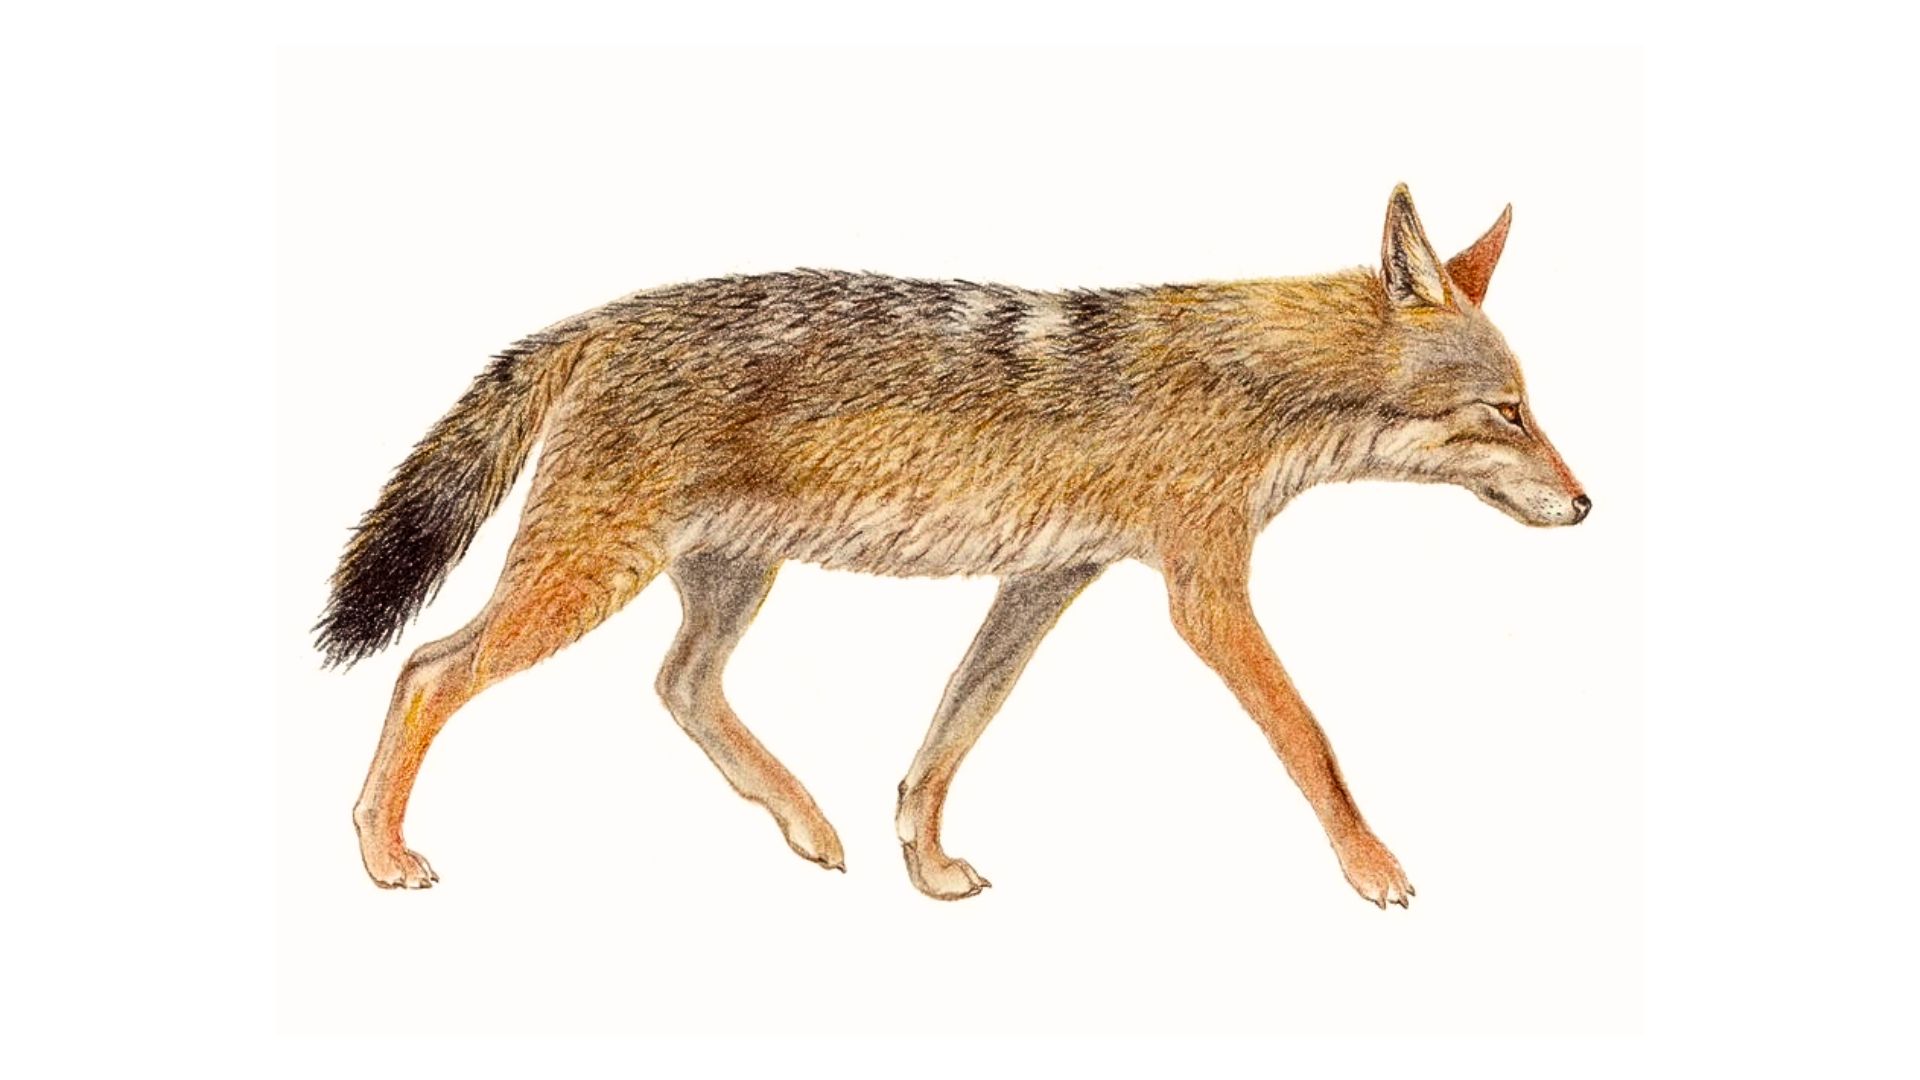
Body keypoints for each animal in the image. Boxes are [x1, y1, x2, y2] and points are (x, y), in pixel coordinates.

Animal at [317, 184, 1588, 908]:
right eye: (1509, 413)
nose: (1587, 507)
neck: (1256, 385)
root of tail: (594, 319)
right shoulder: (1203, 595)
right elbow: (1310, 740)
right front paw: (1375, 872)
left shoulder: (1048, 577)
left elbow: (946, 739)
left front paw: (923, 868)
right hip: (590, 581)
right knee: (427, 670)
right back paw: (380, 854)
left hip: (727, 582)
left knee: (679, 687)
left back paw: (807, 824)